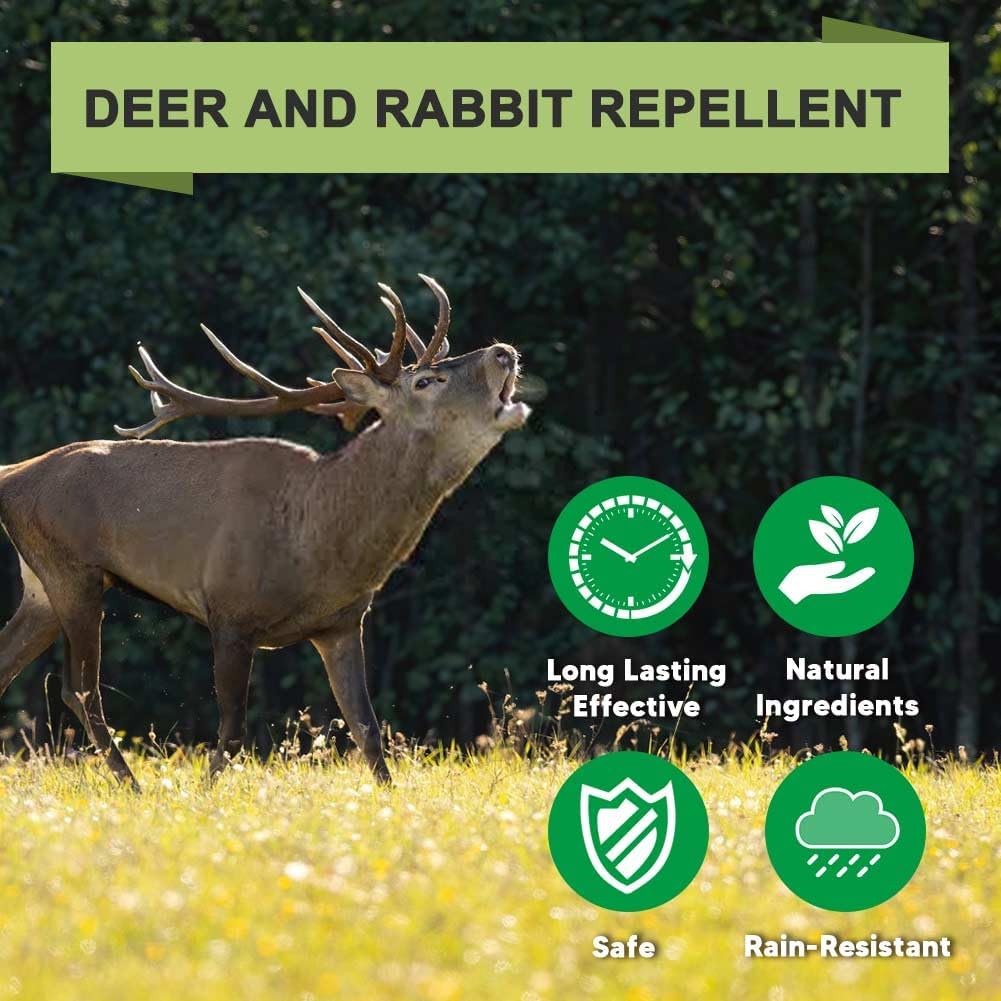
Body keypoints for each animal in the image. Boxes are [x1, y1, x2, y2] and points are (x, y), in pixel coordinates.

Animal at [0, 275, 529, 789]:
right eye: (425, 380)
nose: (504, 350)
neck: (320, 543)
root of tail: (12, 475)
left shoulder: (342, 623)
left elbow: (368, 730)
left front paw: (389, 799)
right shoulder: (229, 612)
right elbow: (232, 733)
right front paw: (204, 797)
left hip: (42, 590)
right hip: (71, 570)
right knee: (80, 689)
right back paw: (131, 786)